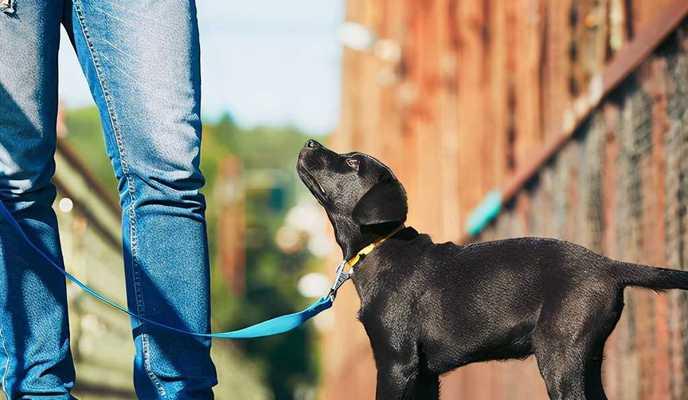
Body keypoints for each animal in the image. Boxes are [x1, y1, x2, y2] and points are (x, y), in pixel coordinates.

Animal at [296, 139, 688, 398]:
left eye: (352, 163)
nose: (310, 142)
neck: (379, 247)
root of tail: (608, 266)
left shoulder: (397, 361)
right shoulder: (423, 374)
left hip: (560, 354)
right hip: (586, 358)